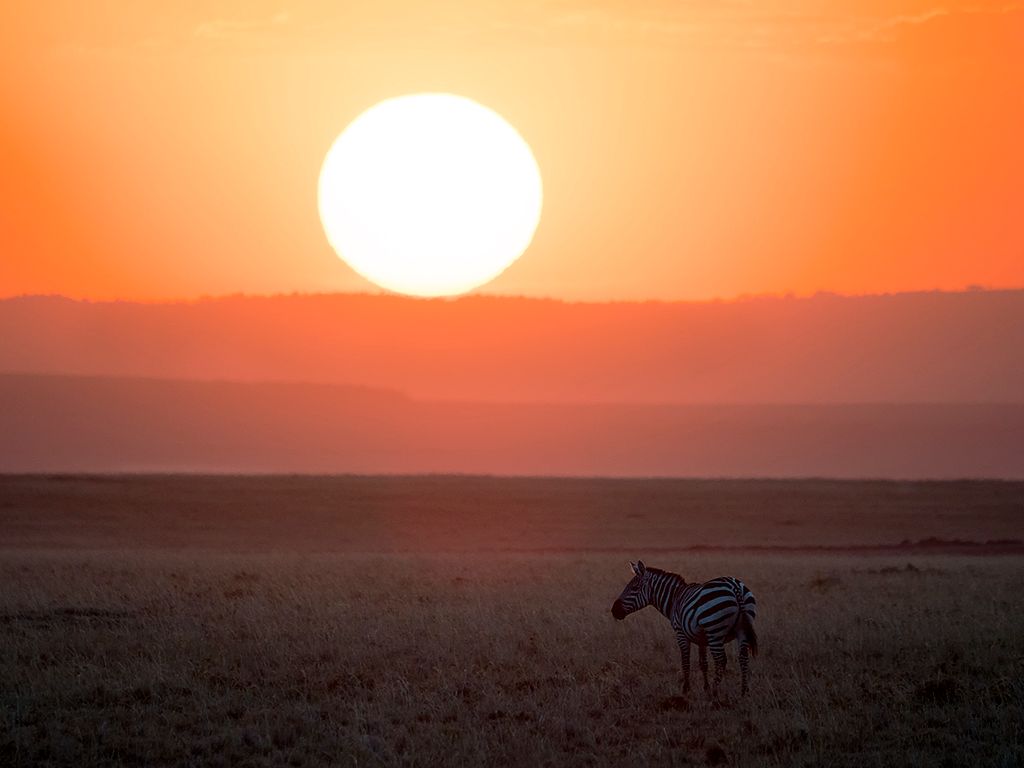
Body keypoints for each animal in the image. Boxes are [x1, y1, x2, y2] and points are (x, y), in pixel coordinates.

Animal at [610, 560, 758, 696]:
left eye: (634, 588)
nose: (614, 611)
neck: (674, 599)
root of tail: (734, 586)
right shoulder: (701, 638)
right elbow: (703, 663)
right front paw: (705, 687)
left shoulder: (681, 633)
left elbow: (685, 662)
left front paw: (686, 689)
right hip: (742, 630)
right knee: (743, 658)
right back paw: (744, 692)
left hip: (714, 632)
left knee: (721, 660)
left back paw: (715, 692)